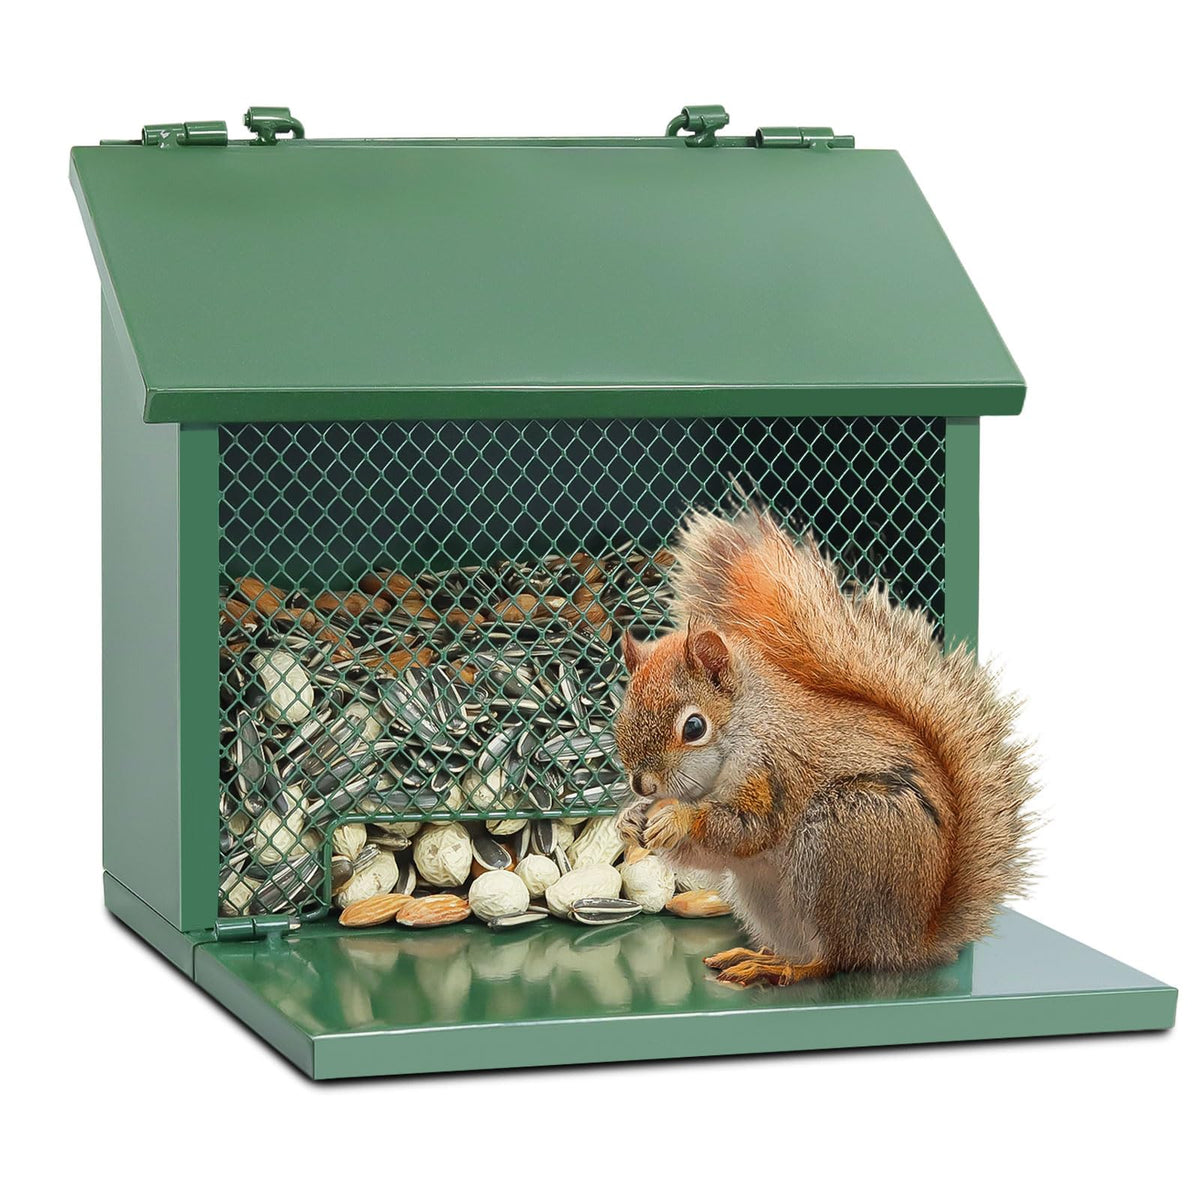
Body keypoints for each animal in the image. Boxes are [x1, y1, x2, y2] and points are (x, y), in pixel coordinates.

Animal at [614, 503, 1035, 987]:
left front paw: (677, 818)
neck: (744, 729)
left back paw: (782, 967)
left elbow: (747, 831)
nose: (643, 784)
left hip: (840, 841)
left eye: (694, 726)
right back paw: (761, 956)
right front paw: (629, 818)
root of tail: (911, 941)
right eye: (621, 711)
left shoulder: (774, 772)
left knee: (837, 957)